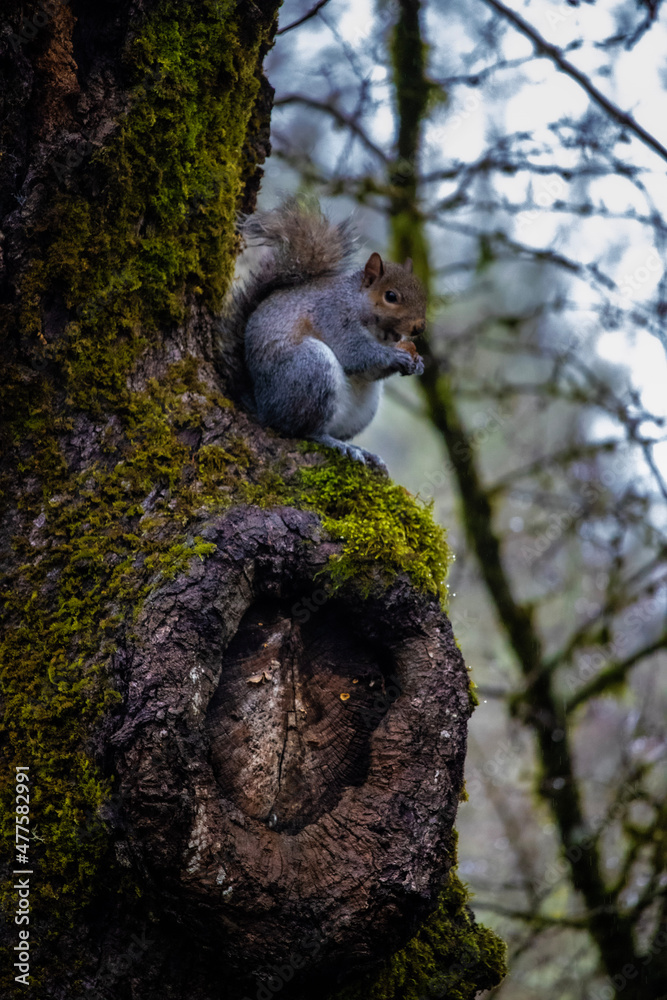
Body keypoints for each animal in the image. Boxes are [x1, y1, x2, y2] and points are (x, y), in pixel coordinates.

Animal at [216, 199, 426, 471]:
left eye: (422, 292)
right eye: (391, 296)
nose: (419, 327)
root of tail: (263, 407)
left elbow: (369, 370)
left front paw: (418, 363)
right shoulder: (333, 316)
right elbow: (354, 354)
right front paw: (396, 357)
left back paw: (360, 449)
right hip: (310, 369)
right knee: (304, 430)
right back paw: (334, 443)